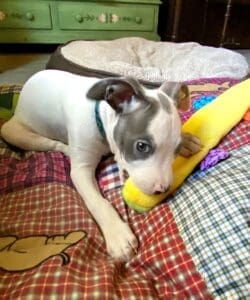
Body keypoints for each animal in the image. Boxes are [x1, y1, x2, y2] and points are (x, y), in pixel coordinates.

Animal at [0, 69, 201, 260]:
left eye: (175, 149)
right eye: (141, 146)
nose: (163, 190)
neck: (100, 118)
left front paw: (187, 140)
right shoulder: (81, 170)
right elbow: (98, 202)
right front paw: (118, 235)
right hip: (13, 132)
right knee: (52, 144)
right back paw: (66, 148)